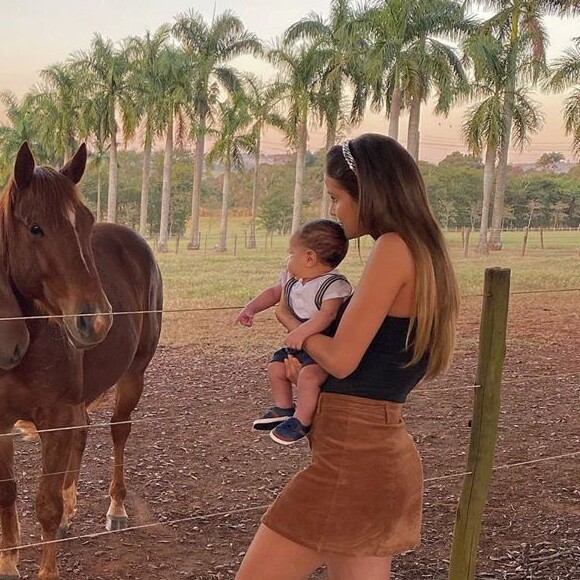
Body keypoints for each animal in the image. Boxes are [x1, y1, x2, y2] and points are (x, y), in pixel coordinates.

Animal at [0, 143, 163, 576]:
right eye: (35, 228)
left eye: (86, 221)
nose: (98, 320)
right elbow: (7, 493)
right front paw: (8, 563)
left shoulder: (55, 417)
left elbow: (46, 505)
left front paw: (47, 571)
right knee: (84, 432)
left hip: (134, 375)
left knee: (118, 431)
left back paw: (116, 508)